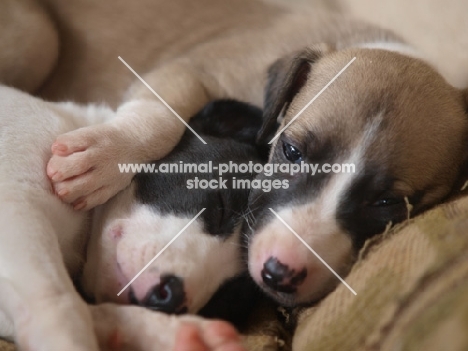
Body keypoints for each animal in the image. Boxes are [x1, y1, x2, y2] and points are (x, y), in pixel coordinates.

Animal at [0, 91, 262, 351]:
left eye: (231, 296)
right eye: (222, 206)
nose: (170, 296)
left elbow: (89, 309)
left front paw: (178, 332)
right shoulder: (17, 205)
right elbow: (59, 298)